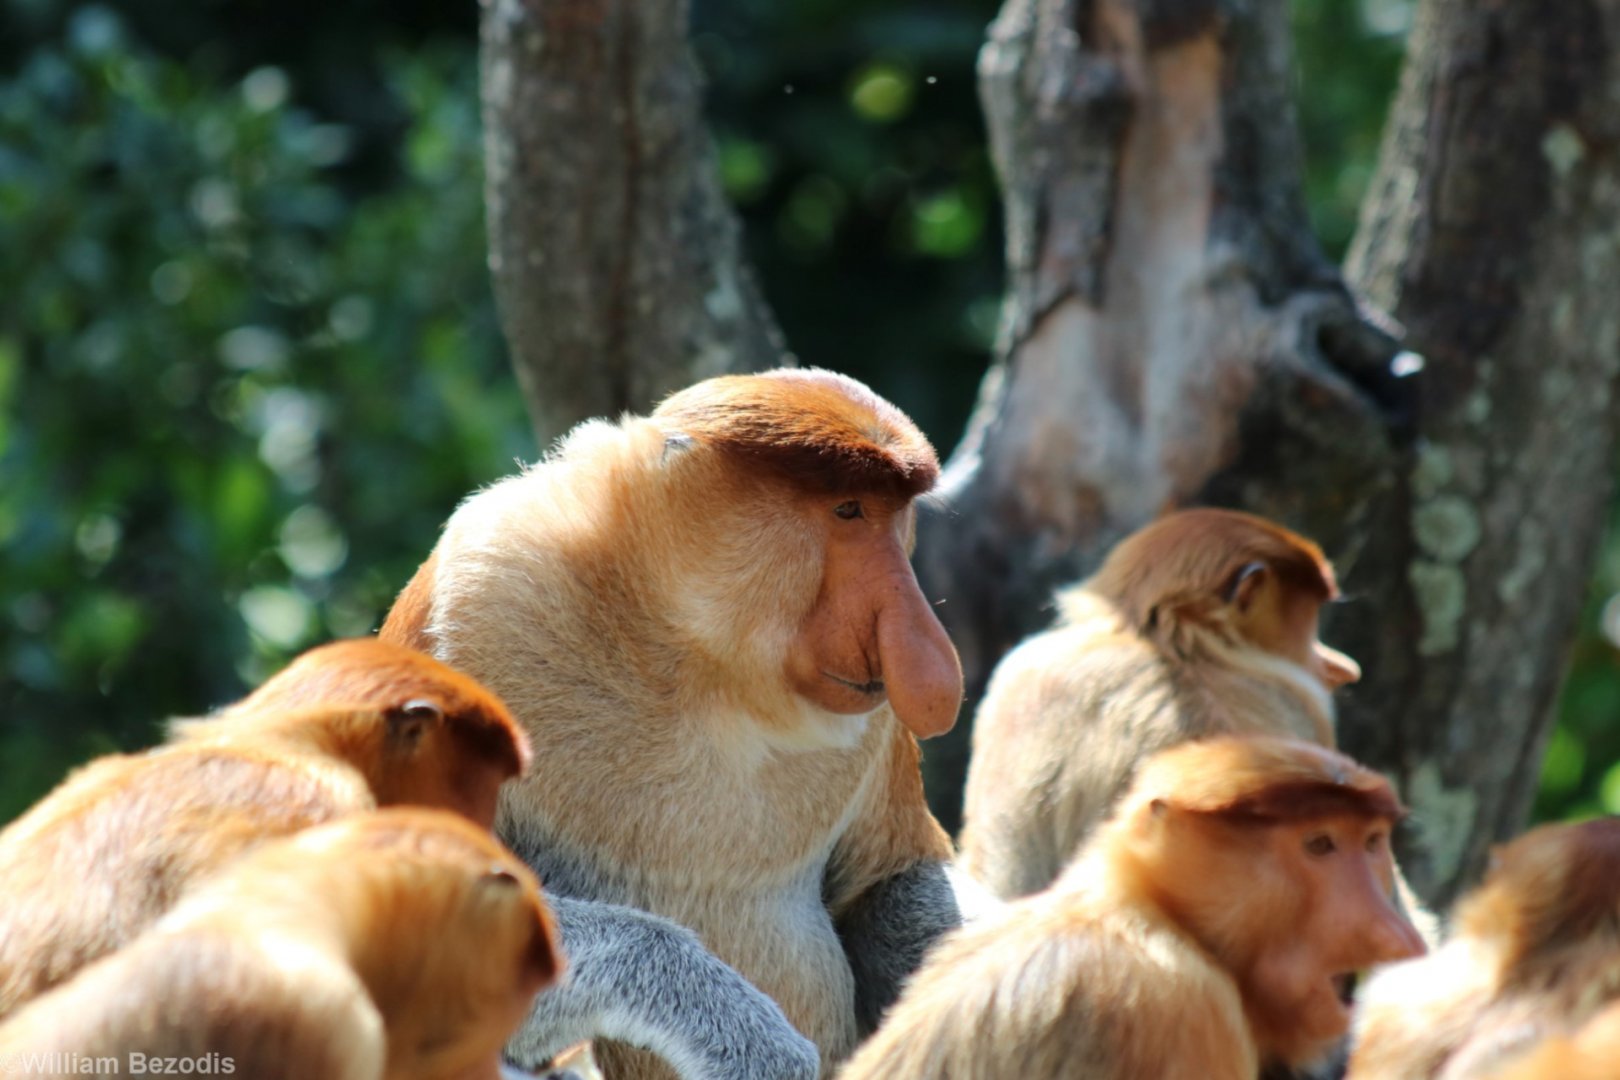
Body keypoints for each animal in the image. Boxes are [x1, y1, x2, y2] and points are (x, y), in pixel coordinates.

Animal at [380, 368, 965, 1080]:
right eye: (849, 511)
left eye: (896, 515)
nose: (928, 659)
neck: (694, 660)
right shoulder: (484, 597)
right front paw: (755, 1046)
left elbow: (889, 880)